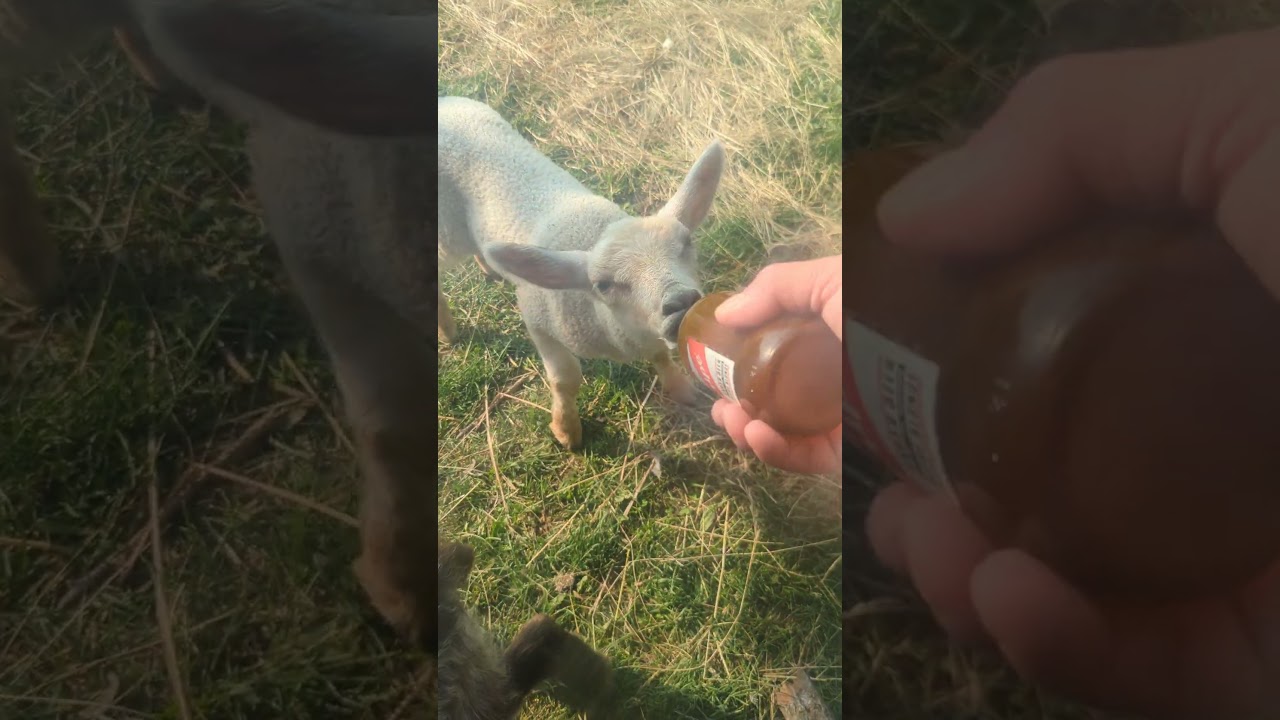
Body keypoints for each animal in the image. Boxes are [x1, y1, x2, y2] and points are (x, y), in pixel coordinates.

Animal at [438, 95, 725, 449]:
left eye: (686, 243)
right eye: (602, 285)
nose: (683, 301)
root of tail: (445, 102)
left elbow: (659, 353)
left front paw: (680, 388)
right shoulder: (539, 320)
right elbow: (565, 379)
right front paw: (566, 430)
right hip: (447, 229)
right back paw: (447, 329)